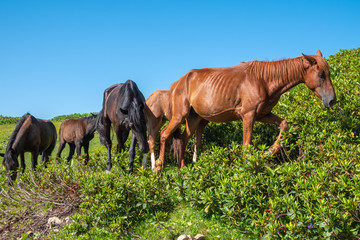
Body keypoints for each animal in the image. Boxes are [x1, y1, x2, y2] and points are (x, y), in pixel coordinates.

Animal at [155, 50, 338, 171]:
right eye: (321, 75)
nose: (332, 100)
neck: (263, 80)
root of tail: (177, 83)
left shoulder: (262, 115)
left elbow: (284, 125)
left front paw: (270, 151)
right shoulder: (248, 115)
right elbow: (246, 146)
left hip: (194, 119)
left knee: (183, 140)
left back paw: (183, 169)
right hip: (180, 115)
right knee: (164, 134)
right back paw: (158, 167)